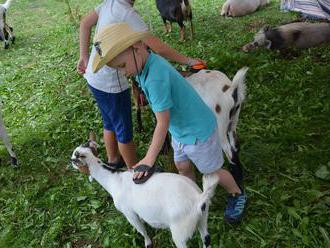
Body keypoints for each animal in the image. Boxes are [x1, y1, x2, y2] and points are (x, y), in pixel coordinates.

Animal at [71, 141, 218, 248]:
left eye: (73, 157)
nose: (70, 162)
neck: (114, 180)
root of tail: (198, 198)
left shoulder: (129, 213)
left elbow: (141, 230)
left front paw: (148, 244)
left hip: (180, 230)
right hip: (202, 218)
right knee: (207, 239)